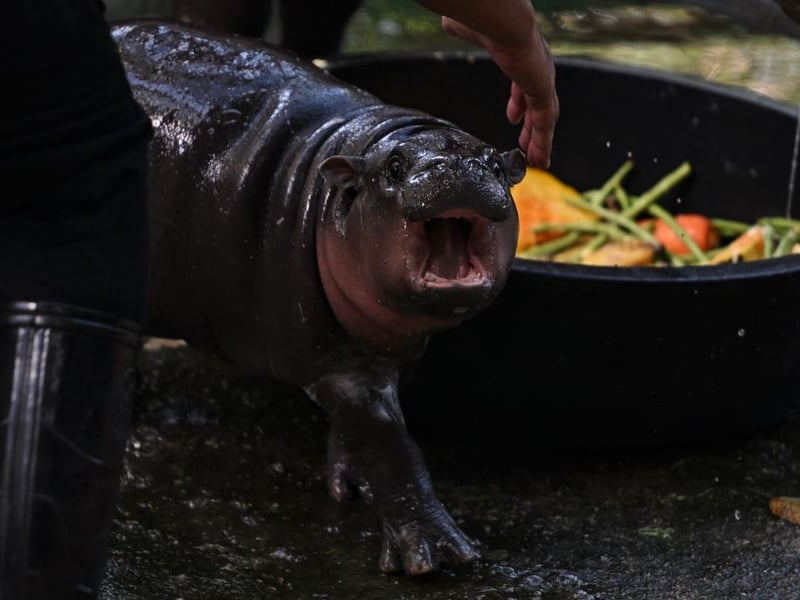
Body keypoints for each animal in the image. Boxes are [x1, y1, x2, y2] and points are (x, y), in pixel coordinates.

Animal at [112, 21, 524, 575]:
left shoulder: (389, 353)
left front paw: (349, 486)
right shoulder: (333, 365)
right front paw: (434, 556)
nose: (455, 169)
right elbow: (390, 446)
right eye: (395, 167)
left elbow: (363, 430)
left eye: (494, 164)